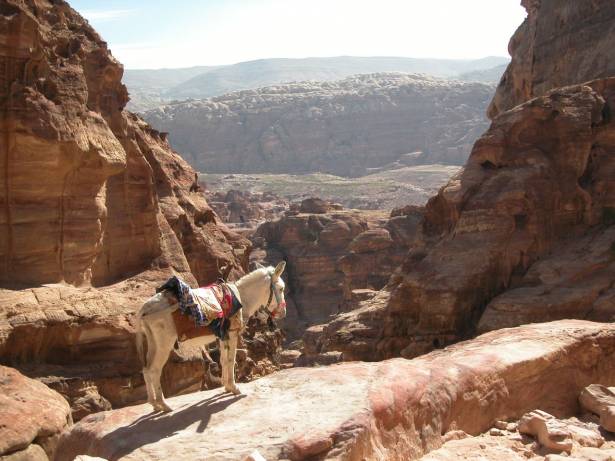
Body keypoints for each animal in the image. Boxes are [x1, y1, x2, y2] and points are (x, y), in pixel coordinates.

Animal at [135, 262, 287, 412]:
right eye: (281, 288)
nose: (283, 313)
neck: (241, 298)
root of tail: (144, 309)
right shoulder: (232, 334)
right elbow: (231, 360)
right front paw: (234, 388)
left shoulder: (223, 336)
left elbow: (223, 360)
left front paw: (226, 386)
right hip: (164, 344)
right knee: (154, 370)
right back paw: (164, 405)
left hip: (153, 342)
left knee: (146, 369)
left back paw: (154, 404)